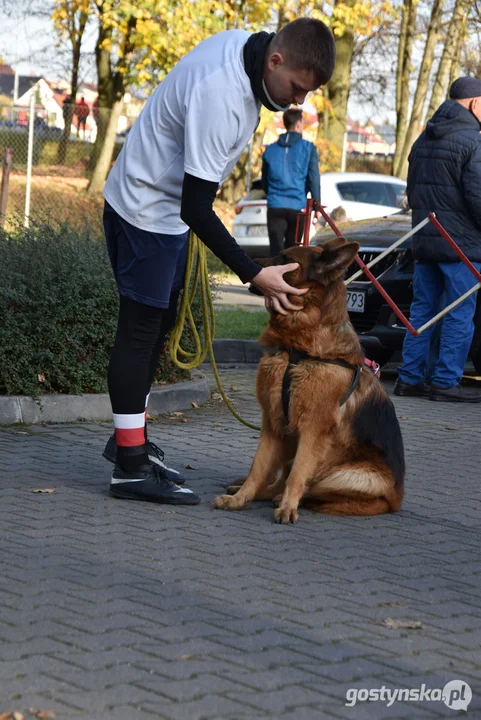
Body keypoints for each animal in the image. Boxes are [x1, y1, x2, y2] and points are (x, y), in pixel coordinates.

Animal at [212, 242, 404, 524]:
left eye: (285, 258)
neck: (297, 350)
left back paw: (285, 499)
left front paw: (288, 507)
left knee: (308, 485)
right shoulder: (273, 423)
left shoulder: (313, 429)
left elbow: (297, 474)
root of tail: (395, 502)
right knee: (278, 478)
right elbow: (258, 468)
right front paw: (240, 498)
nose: (247, 267)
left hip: (347, 475)